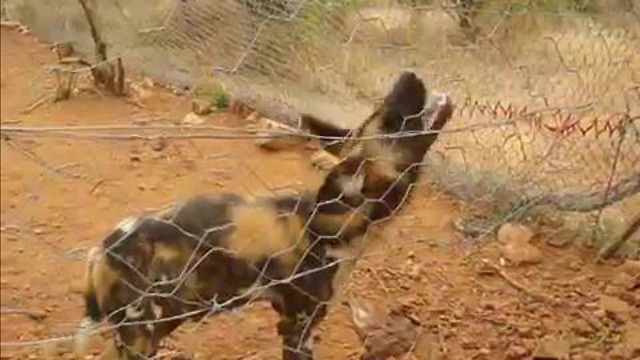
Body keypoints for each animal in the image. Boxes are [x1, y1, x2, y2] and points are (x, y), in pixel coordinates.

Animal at [76, 71, 456, 360]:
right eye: (391, 121)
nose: (409, 74)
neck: (330, 225)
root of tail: (103, 249)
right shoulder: (297, 328)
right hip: (141, 333)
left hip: (166, 318)